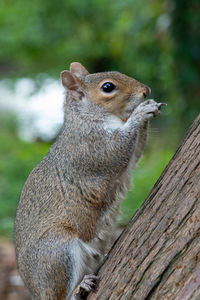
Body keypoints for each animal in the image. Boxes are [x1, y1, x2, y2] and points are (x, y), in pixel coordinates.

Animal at [14, 61, 166, 300]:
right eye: (107, 87)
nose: (145, 91)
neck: (87, 118)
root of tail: (36, 293)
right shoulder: (92, 149)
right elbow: (116, 151)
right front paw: (140, 112)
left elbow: (135, 153)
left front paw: (148, 107)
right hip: (57, 250)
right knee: (61, 293)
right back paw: (79, 288)